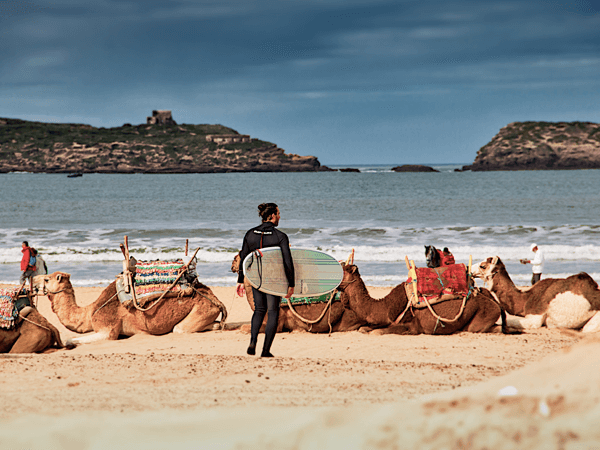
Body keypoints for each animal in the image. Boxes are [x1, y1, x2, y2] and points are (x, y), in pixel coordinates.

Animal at [34, 270, 229, 344]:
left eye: (47, 279)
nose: (33, 280)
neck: (89, 313)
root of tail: (215, 299)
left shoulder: (108, 329)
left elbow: (71, 340)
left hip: (202, 308)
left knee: (180, 329)